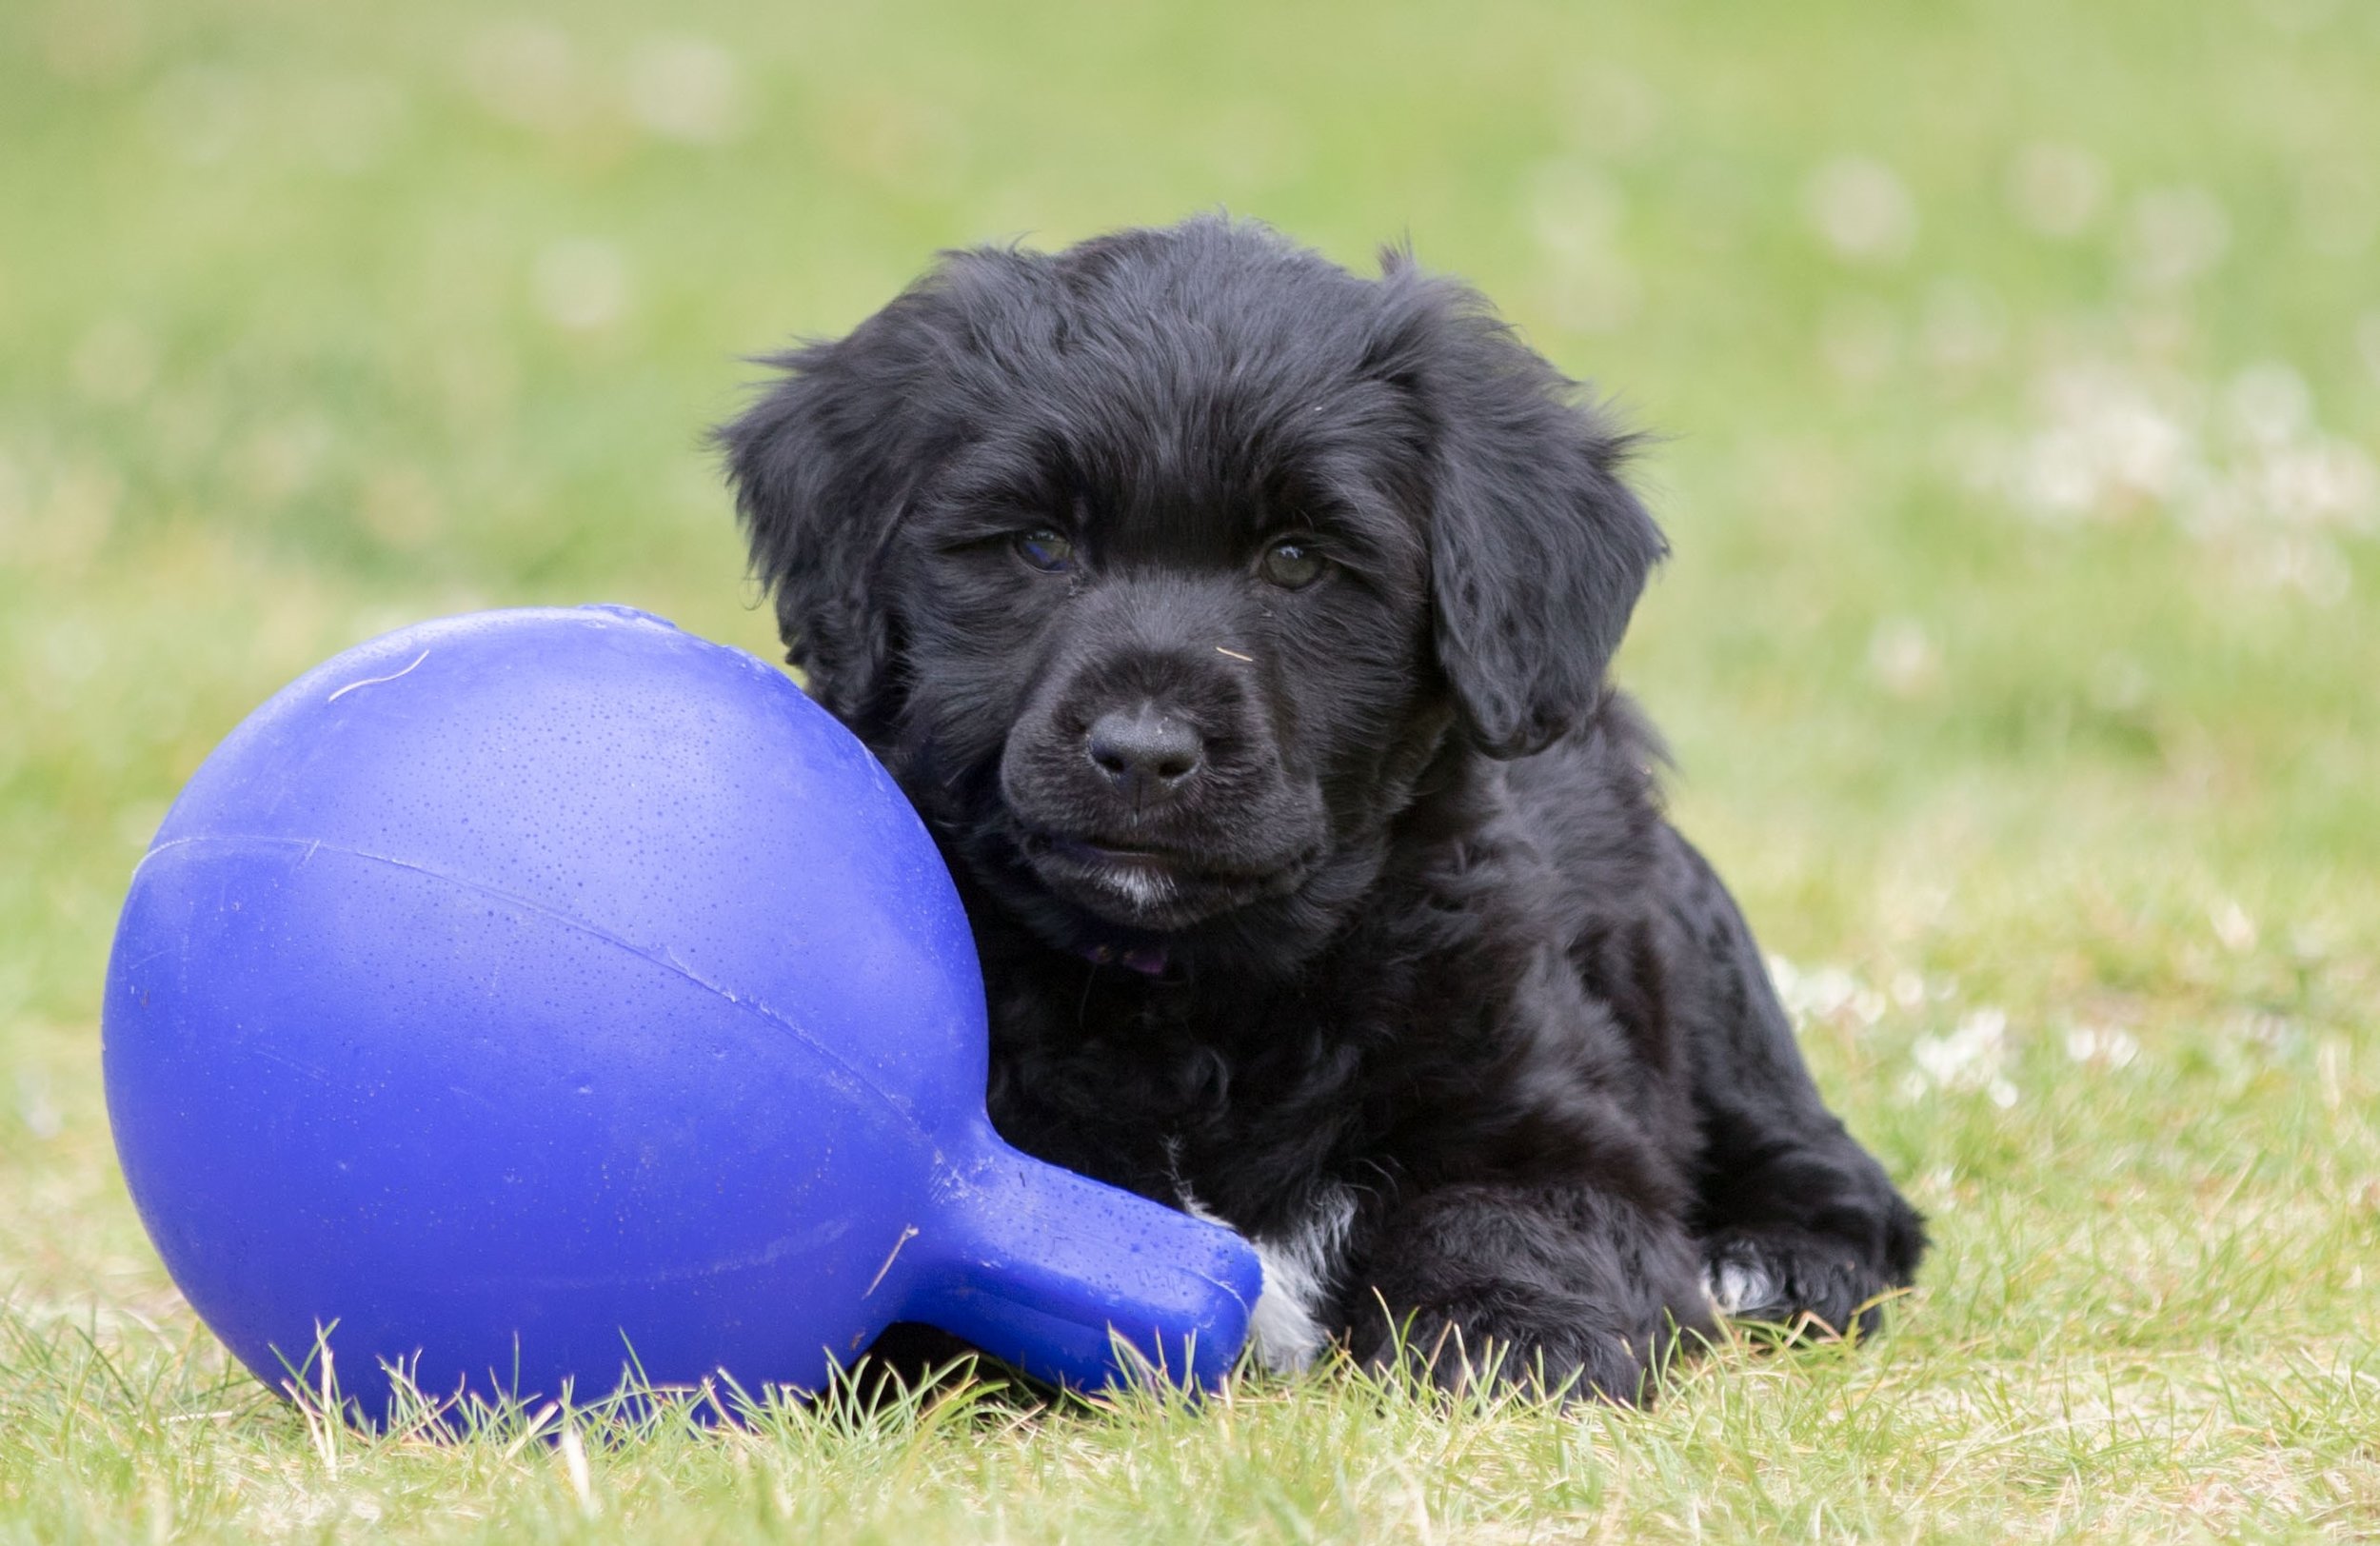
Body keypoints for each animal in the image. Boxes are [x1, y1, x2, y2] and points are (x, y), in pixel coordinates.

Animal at [714, 216, 1923, 1398]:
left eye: (1297, 559)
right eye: (1038, 544)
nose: (1142, 752)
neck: (1187, 997)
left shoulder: (1545, 1114)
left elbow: (1518, 1217)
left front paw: (1511, 1335)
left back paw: (1776, 1262)